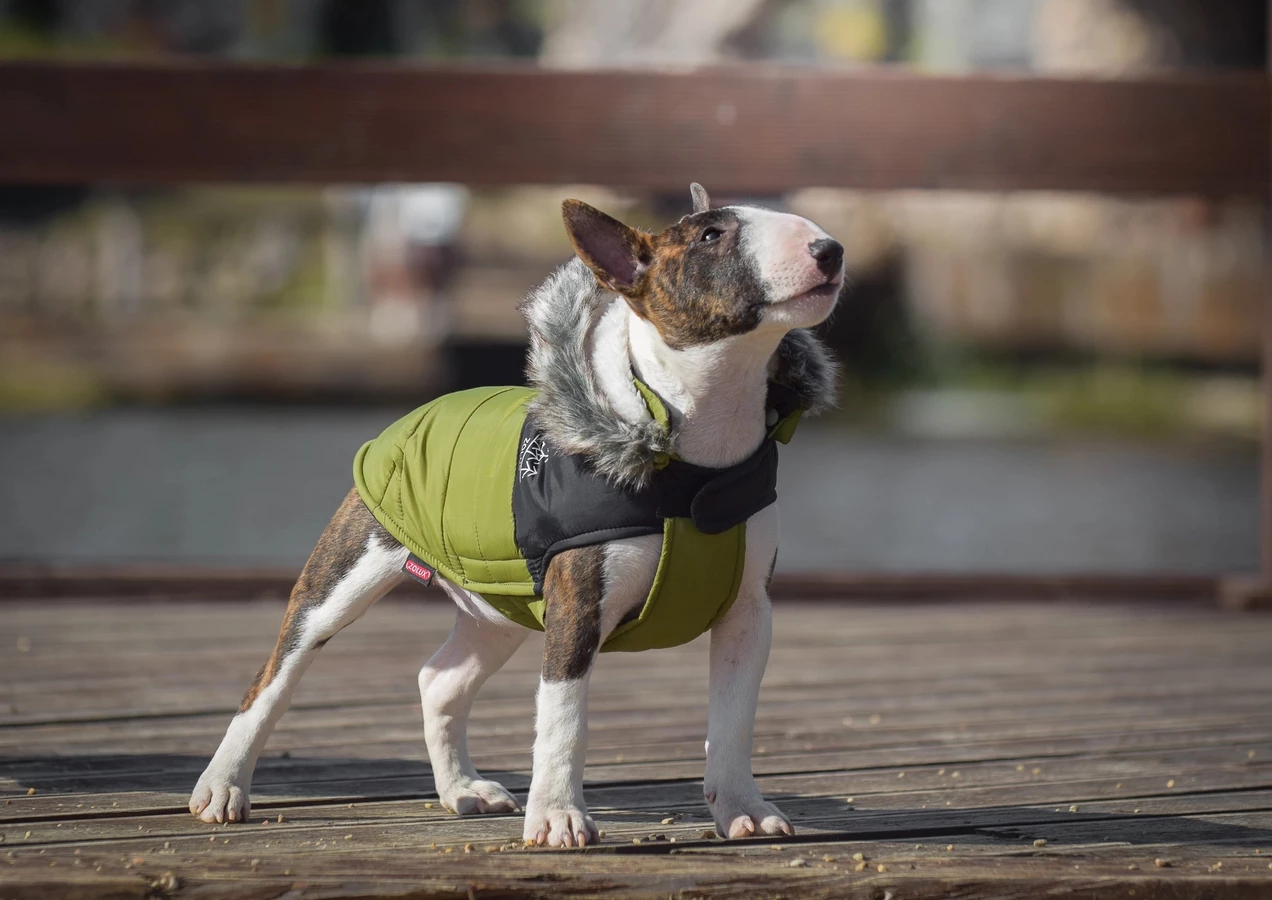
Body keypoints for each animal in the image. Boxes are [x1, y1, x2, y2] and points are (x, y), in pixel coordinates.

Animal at [190, 186, 844, 849]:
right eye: (711, 236)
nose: (830, 249)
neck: (696, 461)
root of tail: (418, 411)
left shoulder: (747, 615)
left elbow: (734, 719)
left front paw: (743, 809)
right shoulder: (577, 609)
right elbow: (564, 720)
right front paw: (558, 817)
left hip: (498, 607)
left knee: (439, 679)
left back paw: (461, 789)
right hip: (343, 578)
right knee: (273, 677)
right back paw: (223, 787)